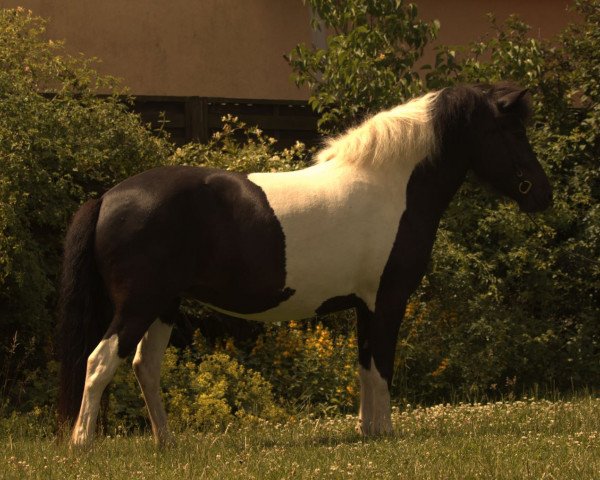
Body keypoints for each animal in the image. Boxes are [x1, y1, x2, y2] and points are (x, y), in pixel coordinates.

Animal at [58, 82, 552, 446]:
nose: (543, 194)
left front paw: (368, 433)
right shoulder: (387, 300)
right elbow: (382, 366)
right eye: (513, 132)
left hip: (164, 305)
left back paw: (167, 443)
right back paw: (83, 444)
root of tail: (108, 197)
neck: (391, 186)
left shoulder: (363, 304)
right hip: (139, 305)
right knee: (101, 361)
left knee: (145, 366)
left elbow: (365, 365)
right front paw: (386, 434)